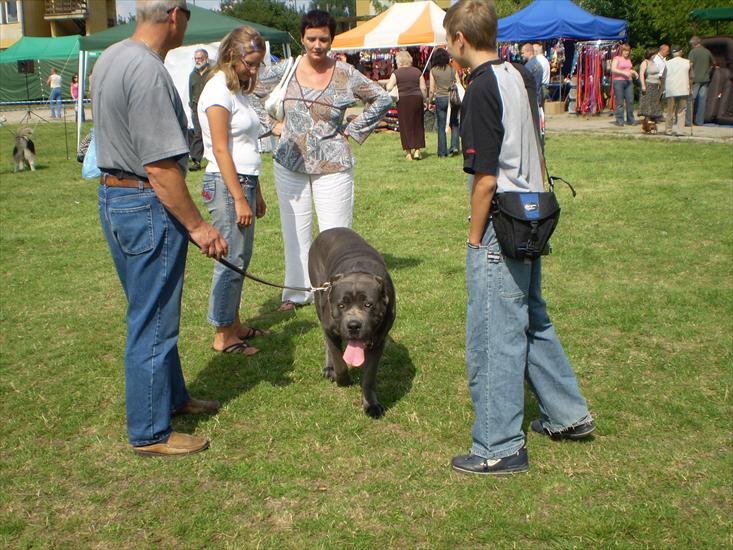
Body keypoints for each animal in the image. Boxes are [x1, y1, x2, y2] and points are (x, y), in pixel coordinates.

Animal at [308, 227, 394, 418]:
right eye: (341, 305)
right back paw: (329, 368)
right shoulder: (330, 330)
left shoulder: (378, 341)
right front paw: (343, 380)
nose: (353, 325)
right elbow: (339, 361)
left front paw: (371, 404)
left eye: (368, 305)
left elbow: (369, 376)